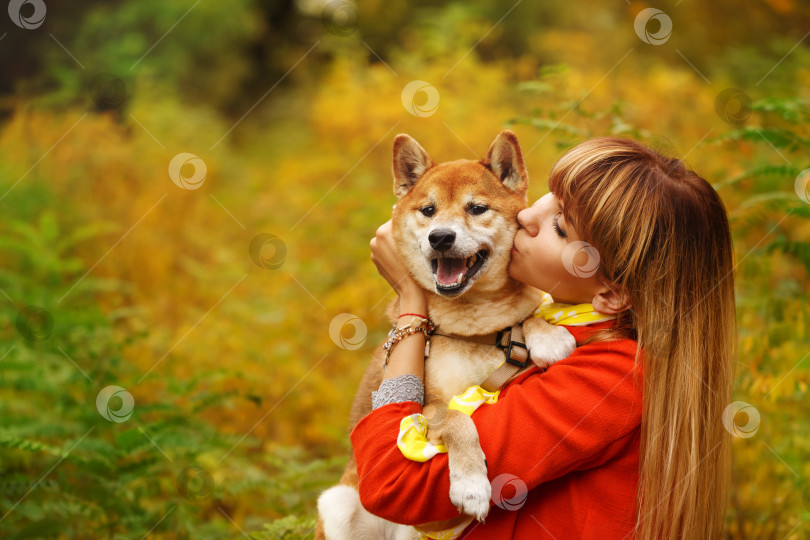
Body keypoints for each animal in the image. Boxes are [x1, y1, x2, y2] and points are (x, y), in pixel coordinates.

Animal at [316, 131, 576, 540]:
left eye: (477, 208)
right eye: (428, 210)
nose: (440, 237)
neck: (475, 327)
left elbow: (527, 316)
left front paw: (548, 336)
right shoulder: (425, 412)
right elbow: (457, 419)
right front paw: (470, 484)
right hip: (337, 503)